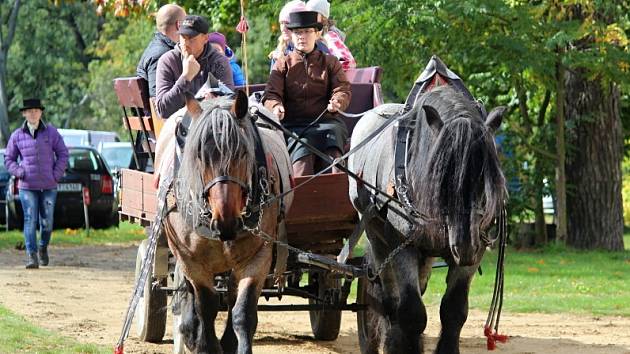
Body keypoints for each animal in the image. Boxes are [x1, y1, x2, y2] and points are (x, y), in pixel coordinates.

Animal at [162, 92, 292, 354]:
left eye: (242, 152)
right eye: (199, 155)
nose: (226, 220)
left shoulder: (257, 258)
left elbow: (242, 312)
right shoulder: (192, 261)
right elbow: (206, 306)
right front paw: (205, 344)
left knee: (231, 294)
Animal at [350, 84, 508, 352]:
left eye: (485, 178)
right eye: (442, 177)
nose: (465, 245)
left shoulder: (473, 253)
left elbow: (454, 310)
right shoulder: (403, 246)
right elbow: (412, 312)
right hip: (378, 237)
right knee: (390, 299)